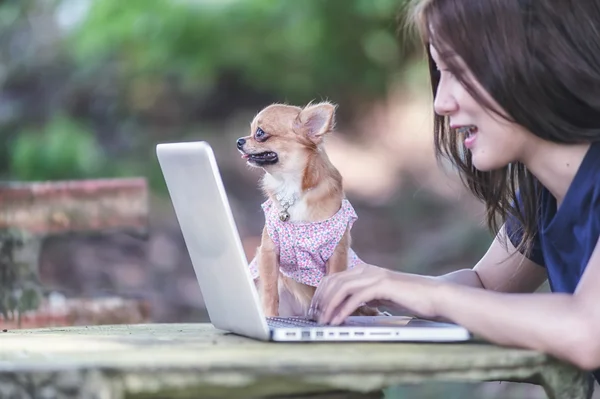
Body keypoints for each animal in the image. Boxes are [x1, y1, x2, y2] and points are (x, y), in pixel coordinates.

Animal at [237, 102, 382, 318]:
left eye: (260, 133)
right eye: (251, 130)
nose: (239, 141)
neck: (291, 188)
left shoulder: (336, 253)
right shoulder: (269, 250)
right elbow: (270, 292)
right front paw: (270, 316)